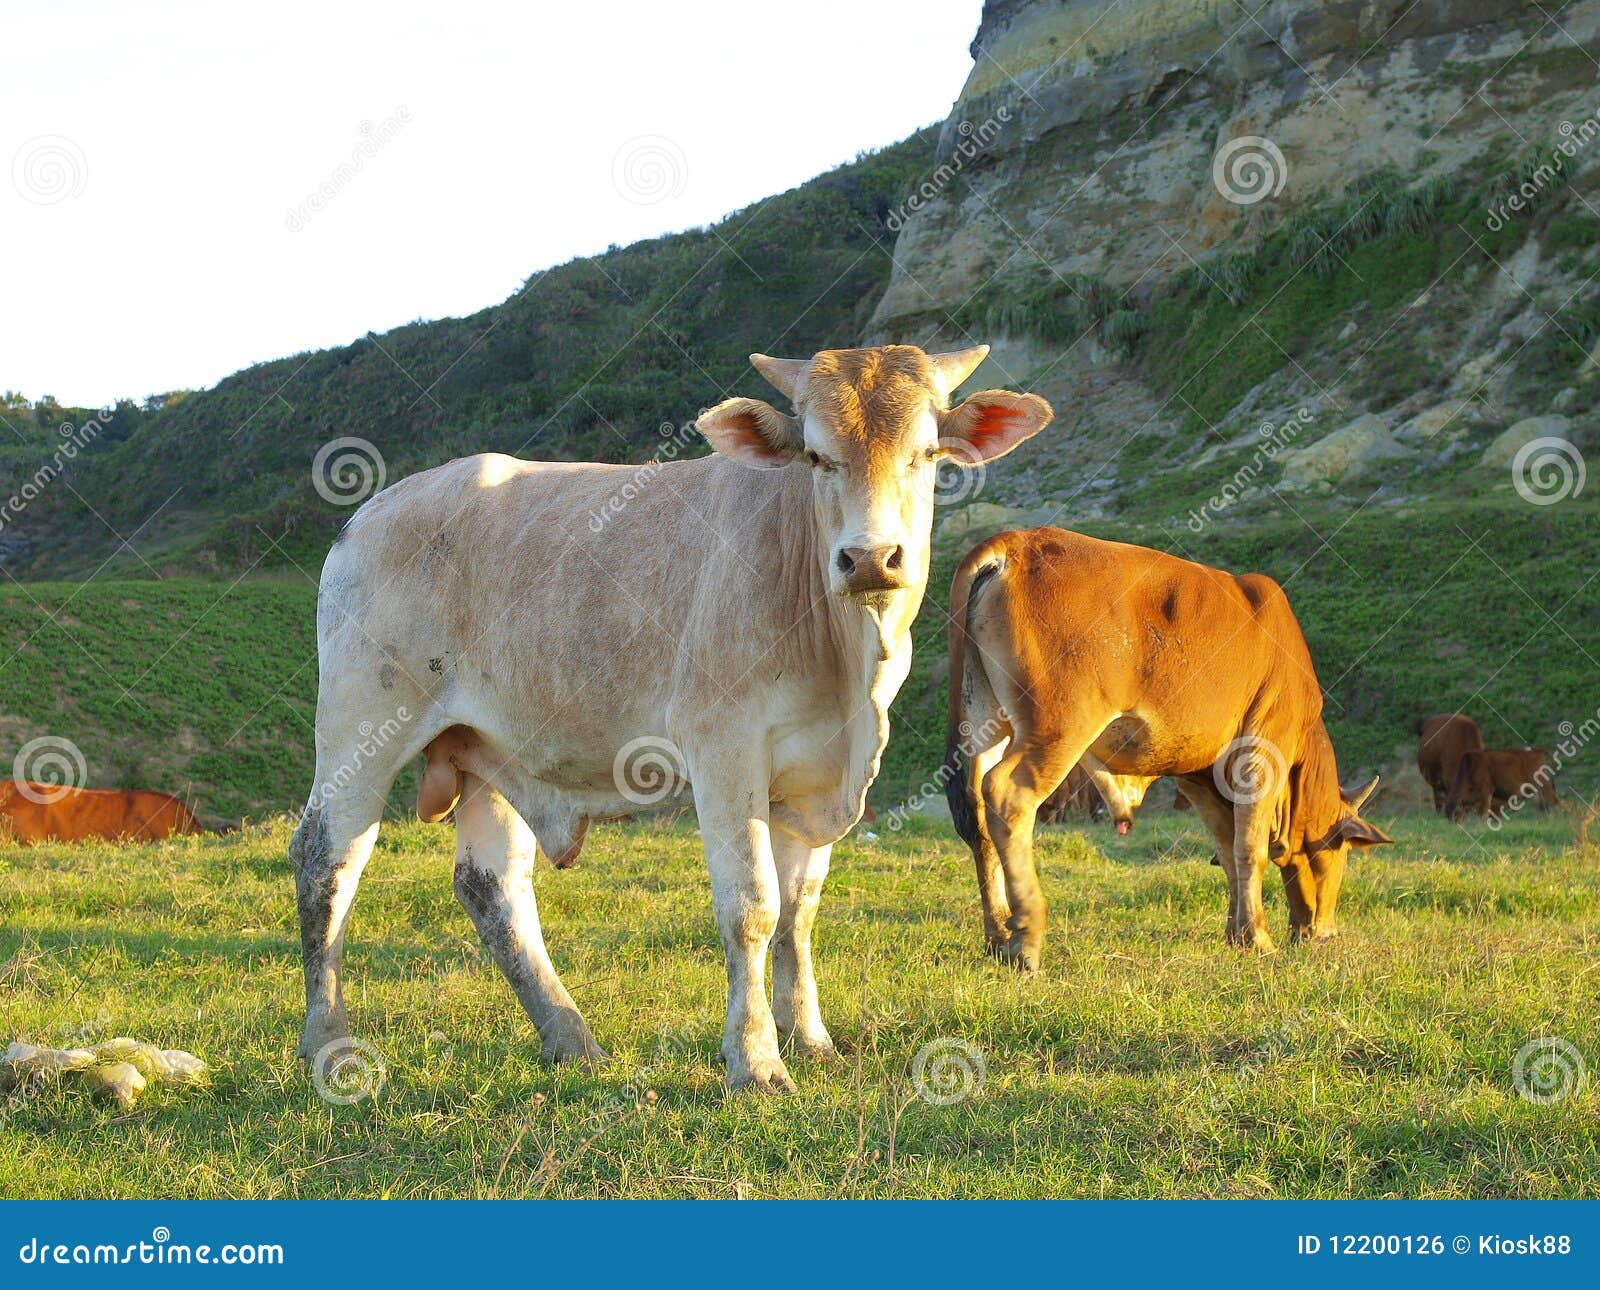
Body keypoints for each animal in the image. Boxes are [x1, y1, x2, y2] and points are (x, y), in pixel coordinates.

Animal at [294, 344, 1056, 1088]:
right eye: (815, 455)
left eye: (926, 453)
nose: (870, 557)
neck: (848, 667)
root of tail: (370, 514)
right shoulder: (725, 751)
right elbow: (753, 908)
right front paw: (756, 1061)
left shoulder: (817, 778)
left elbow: (799, 913)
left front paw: (811, 1041)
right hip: (359, 728)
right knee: (327, 860)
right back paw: (328, 1042)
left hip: (487, 749)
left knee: (493, 888)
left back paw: (571, 1040)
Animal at [947, 528, 1388, 973]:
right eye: (1342, 851)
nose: (1324, 933)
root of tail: (1015, 543)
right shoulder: (1263, 754)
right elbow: (1251, 850)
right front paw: (1259, 938)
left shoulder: (1198, 775)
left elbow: (1228, 851)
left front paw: (1236, 935)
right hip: (1058, 729)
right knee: (1008, 797)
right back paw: (1026, 940)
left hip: (985, 721)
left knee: (978, 814)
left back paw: (997, 935)